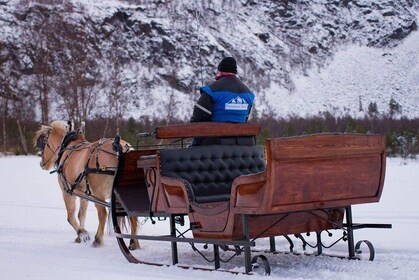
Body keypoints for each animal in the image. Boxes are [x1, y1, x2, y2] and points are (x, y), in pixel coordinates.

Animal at [34, 120, 139, 249]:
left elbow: (70, 216)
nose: (42, 163)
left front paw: (82, 233)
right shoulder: (85, 194)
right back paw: (134, 243)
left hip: (98, 193)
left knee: (102, 214)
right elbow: (81, 214)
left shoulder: (67, 191)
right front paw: (80, 235)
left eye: (44, 141)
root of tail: (122, 149)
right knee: (133, 214)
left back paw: (98, 240)